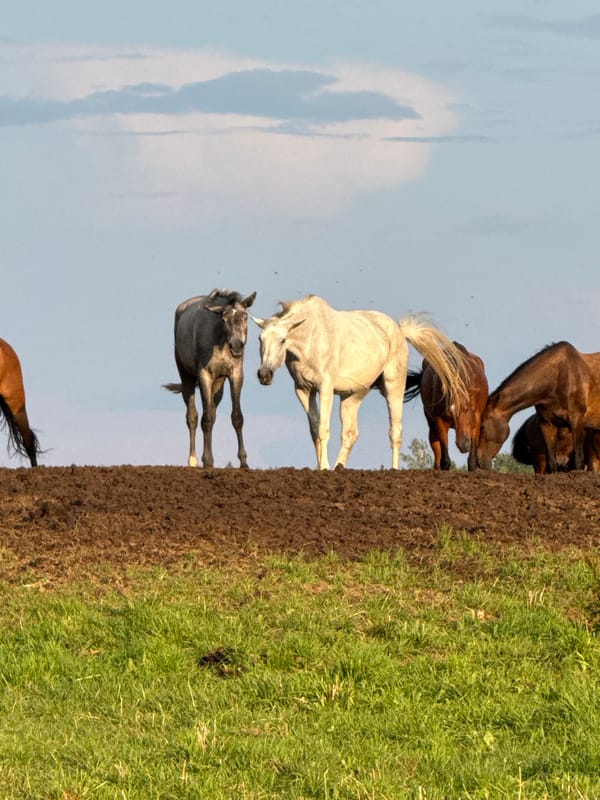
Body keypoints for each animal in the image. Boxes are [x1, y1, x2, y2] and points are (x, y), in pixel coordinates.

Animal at [164, 289, 257, 468]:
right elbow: (205, 419)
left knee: (211, 412)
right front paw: (207, 461)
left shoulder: (235, 374)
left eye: (245, 316)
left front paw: (243, 462)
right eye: (224, 319)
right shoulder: (204, 375)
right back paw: (193, 460)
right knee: (192, 417)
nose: (236, 346)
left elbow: (236, 417)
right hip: (187, 377)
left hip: (218, 384)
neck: (219, 340)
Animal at [253, 294, 468, 470]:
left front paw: (324, 468)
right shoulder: (303, 390)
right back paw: (339, 467)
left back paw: (393, 469)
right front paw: (320, 466)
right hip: (353, 395)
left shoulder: (325, 388)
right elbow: (314, 430)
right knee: (350, 433)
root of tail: (399, 331)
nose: (264, 375)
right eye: (260, 338)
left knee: (395, 432)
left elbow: (323, 429)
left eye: (282, 340)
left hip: (393, 389)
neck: (311, 339)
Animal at [404, 342, 488, 471]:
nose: (463, 443)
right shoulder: (440, 420)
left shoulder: (476, 418)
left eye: (466, 409)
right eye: (450, 412)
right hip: (432, 425)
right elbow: (445, 456)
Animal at [477, 341, 600, 471]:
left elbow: (579, 461)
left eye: (482, 426)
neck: (558, 377)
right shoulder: (546, 423)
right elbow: (552, 464)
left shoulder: (576, 421)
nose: (479, 461)